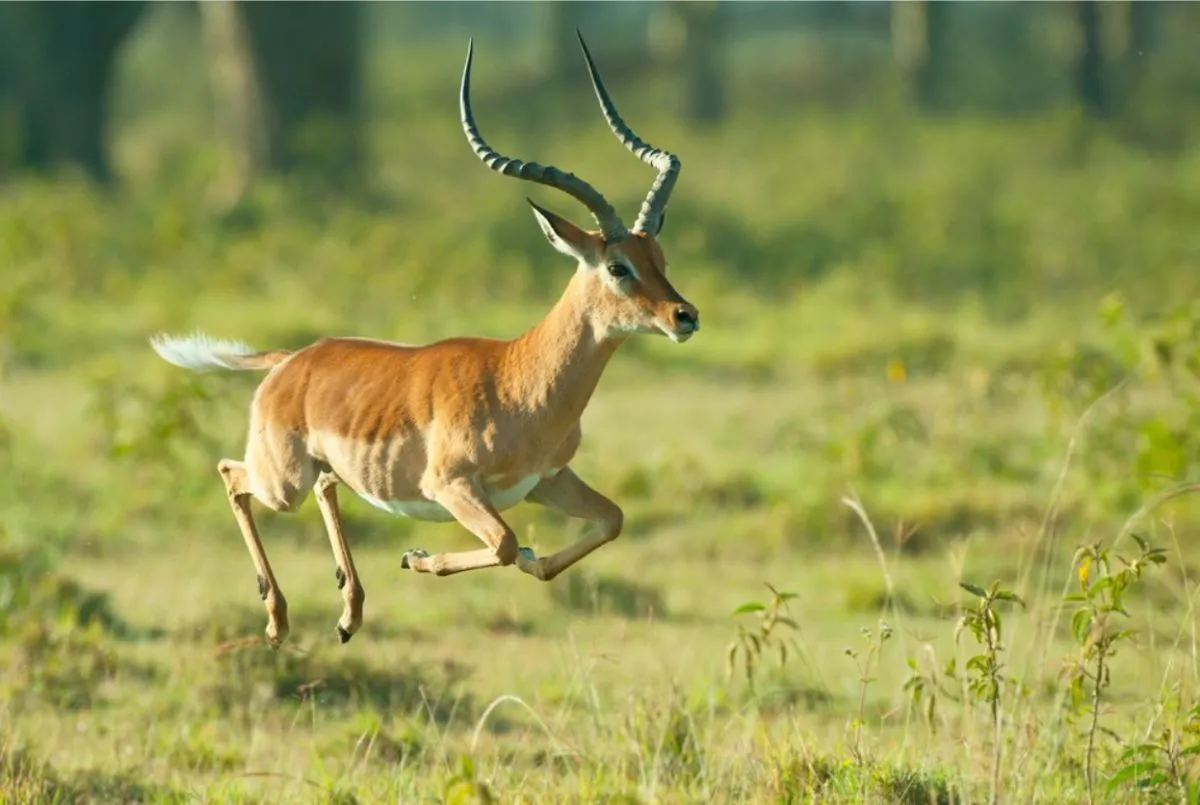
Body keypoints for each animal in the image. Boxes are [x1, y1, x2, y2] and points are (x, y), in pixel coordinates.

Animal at [148, 33, 699, 648]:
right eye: (617, 266)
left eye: (659, 258)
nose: (684, 316)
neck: (519, 382)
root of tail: (293, 361)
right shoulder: (452, 486)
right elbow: (503, 542)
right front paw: (416, 557)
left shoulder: (546, 481)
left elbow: (608, 521)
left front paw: (530, 559)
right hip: (281, 482)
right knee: (230, 475)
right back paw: (278, 621)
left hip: (318, 472)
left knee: (323, 486)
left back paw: (348, 614)